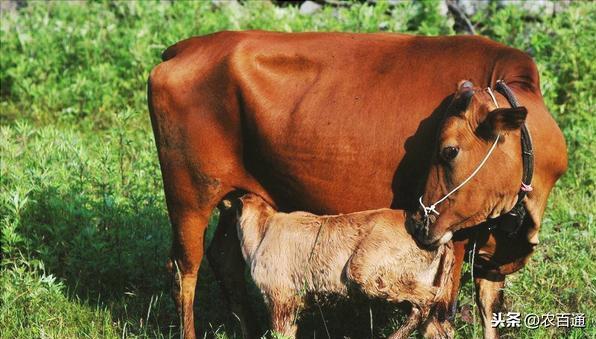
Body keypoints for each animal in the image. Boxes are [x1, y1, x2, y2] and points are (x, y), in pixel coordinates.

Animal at [235, 194, 454, 339]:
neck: (262, 230)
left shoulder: (279, 296)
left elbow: (281, 333)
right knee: (439, 327)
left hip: (367, 271)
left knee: (427, 300)